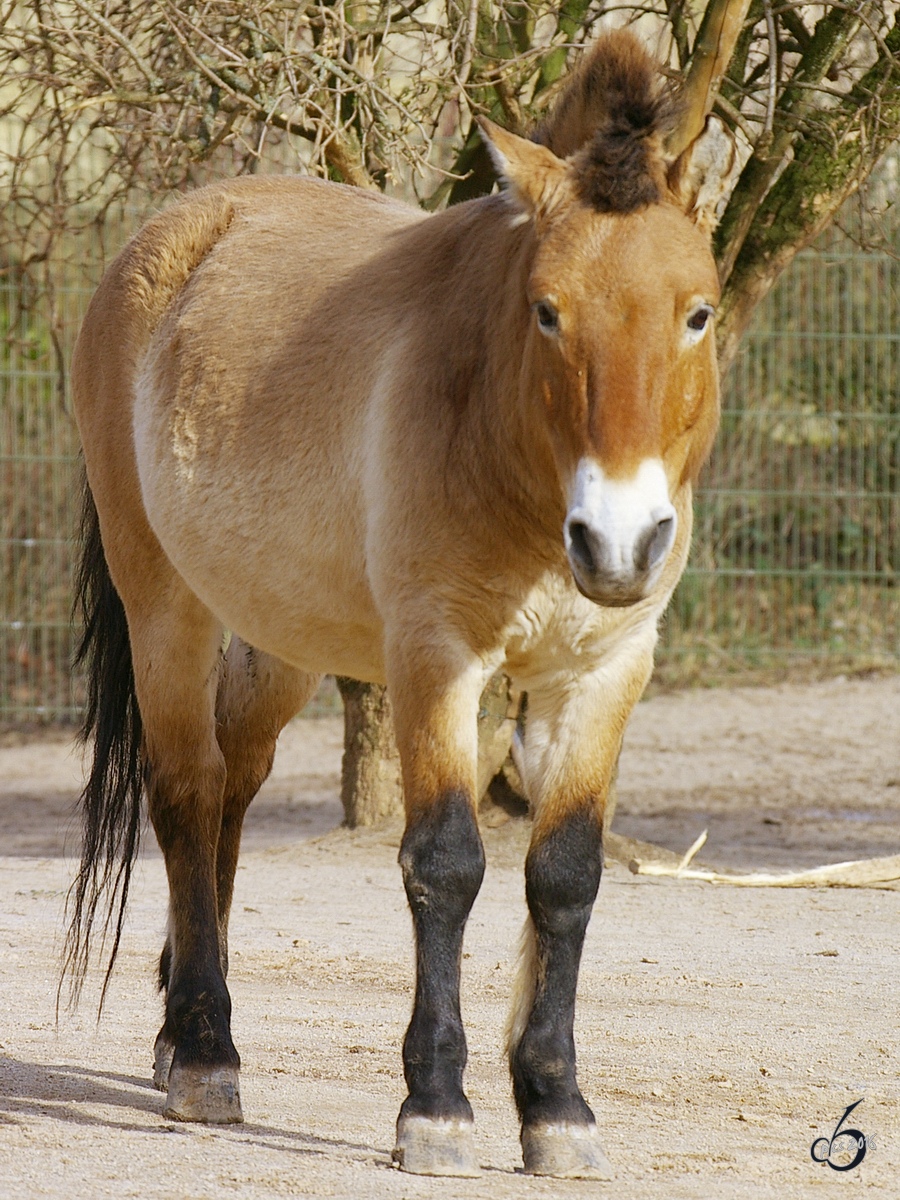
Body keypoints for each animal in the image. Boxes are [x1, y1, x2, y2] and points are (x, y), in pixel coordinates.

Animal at [66, 30, 734, 1180]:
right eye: (547, 311)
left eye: (697, 311)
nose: (615, 542)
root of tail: (170, 237)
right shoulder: (437, 657)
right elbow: (447, 863)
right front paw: (437, 1107)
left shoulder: (607, 671)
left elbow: (565, 874)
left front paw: (557, 1108)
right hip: (167, 609)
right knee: (187, 794)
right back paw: (204, 1053)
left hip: (276, 643)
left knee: (230, 796)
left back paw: (175, 1029)